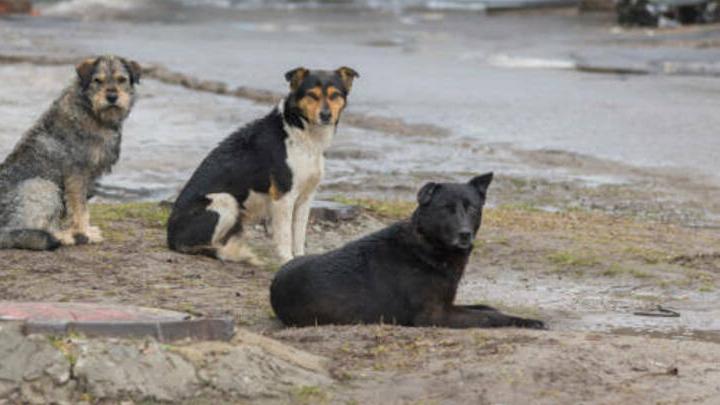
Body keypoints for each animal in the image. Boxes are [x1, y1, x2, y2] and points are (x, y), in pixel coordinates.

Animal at [0, 53, 142, 249]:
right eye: (97, 80)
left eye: (122, 79)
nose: (112, 97)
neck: (92, 112)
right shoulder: (77, 174)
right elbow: (80, 208)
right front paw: (84, 233)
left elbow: (77, 209)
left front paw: (83, 230)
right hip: (42, 186)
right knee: (29, 229)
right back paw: (63, 237)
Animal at [169, 67, 360, 262]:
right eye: (311, 95)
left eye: (335, 95)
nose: (326, 115)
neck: (301, 133)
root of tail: (170, 237)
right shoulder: (284, 197)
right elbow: (285, 236)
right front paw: (287, 260)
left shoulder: (305, 198)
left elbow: (299, 235)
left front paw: (299, 259)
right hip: (225, 200)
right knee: (202, 246)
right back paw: (229, 252)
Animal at [270, 174, 544, 328]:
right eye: (447, 208)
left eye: (472, 209)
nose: (465, 234)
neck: (426, 246)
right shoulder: (434, 316)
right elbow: (490, 317)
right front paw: (526, 321)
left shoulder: (448, 304)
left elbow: (486, 308)